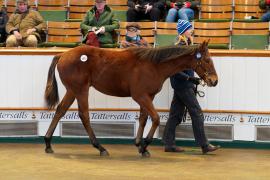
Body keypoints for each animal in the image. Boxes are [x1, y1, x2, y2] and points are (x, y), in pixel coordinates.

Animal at [43, 41, 217, 157]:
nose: (214, 81)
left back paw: (48, 143)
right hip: (81, 90)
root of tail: (62, 54)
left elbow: (143, 118)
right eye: (207, 60)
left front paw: (140, 145)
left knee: (60, 110)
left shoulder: (147, 96)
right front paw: (145, 144)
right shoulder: (140, 96)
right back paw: (100, 147)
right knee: (84, 115)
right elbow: (155, 118)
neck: (154, 65)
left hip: (72, 90)